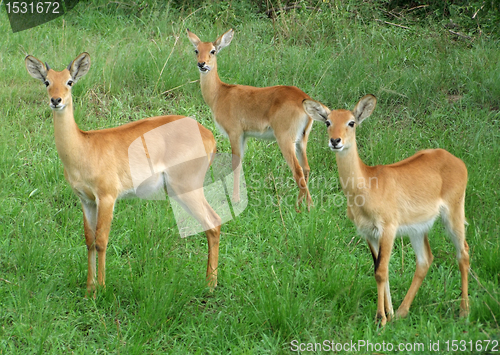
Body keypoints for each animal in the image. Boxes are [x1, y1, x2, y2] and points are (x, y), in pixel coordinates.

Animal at [25, 52, 221, 298]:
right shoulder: (86, 200)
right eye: (47, 82)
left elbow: (101, 240)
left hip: (186, 187)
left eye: (69, 81)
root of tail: (208, 135)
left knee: (213, 222)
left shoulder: (107, 196)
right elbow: (89, 240)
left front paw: (100, 290)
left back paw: (210, 286)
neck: (83, 148)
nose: (56, 100)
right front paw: (89, 289)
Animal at [188, 29, 316, 211]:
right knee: (306, 168)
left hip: (285, 139)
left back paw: (300, 208)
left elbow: (235, 164)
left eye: (213, 50)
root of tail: (304, 99)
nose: (202, 64)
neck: (219, 94)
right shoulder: (244, 136)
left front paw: (235, 200)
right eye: (196, 50)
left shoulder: (234, 132)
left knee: (297, 170)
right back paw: (306, 205)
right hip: (302, 140)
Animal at [302, 95, 470, 328]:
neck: (367, 187)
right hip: (418, 229)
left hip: (453, 214)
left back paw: (464, 312)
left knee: (463, 253)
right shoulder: (368, 233)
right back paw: (401, 312)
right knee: (425, 260)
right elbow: (380, 269)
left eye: (351, 122)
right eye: (328, 122)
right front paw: (388, 314)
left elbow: (381, 271)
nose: (335, 141)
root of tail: (456, 160)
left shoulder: (388, 229)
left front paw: (380, 319)